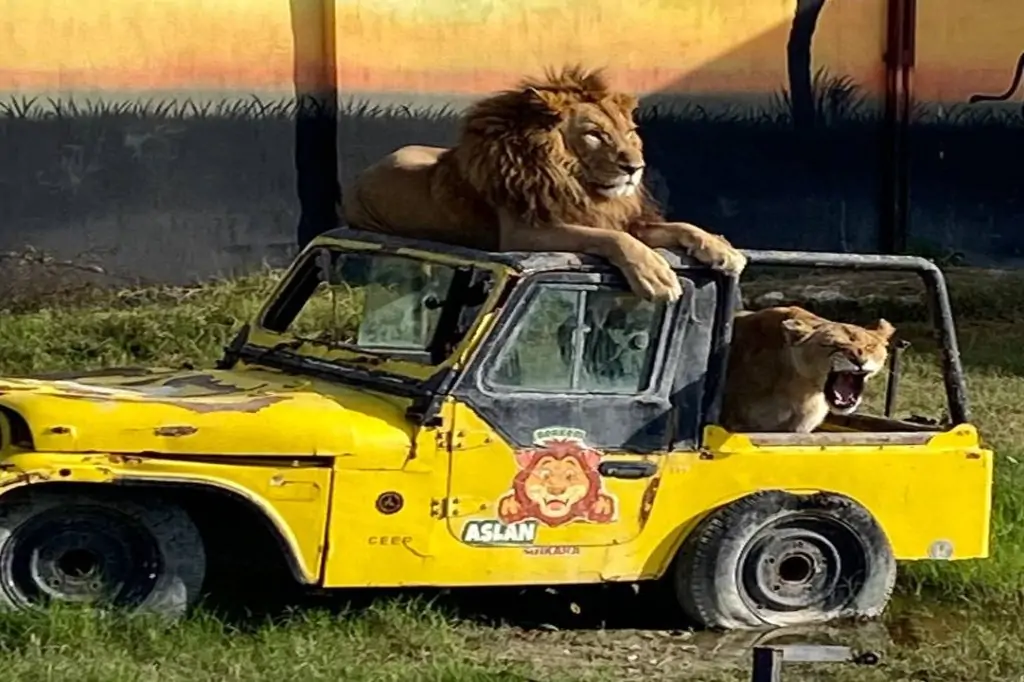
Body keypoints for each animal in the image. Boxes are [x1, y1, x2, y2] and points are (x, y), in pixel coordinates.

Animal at [341, 65, 746, 302]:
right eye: (595, 134)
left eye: (629, 133)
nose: (634, 167)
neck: (575, 181)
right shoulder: (523, 234)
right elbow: (611, 239)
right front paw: (656, 277)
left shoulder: (614, 216)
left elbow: (678, 226)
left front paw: (722, 250)